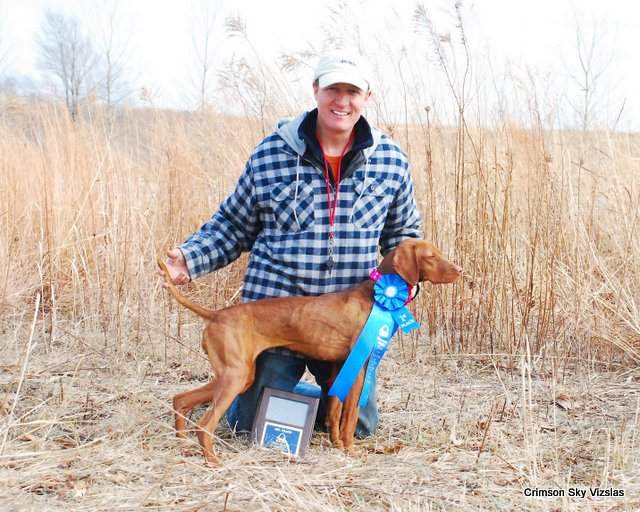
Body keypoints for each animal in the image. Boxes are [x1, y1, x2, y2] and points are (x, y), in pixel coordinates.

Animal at [159, 240, 460, 464]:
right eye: (431, 256)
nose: (460, 270)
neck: (374, 295)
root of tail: (216, 315)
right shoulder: (358, 369)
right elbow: (349, 417)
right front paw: (349, 449)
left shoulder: (339, 369)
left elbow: (334, 412)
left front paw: (335, 444)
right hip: (234, 377)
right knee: (205, 424)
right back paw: (212, 460)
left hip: (236, 376)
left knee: (181, 399)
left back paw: (182, 444)